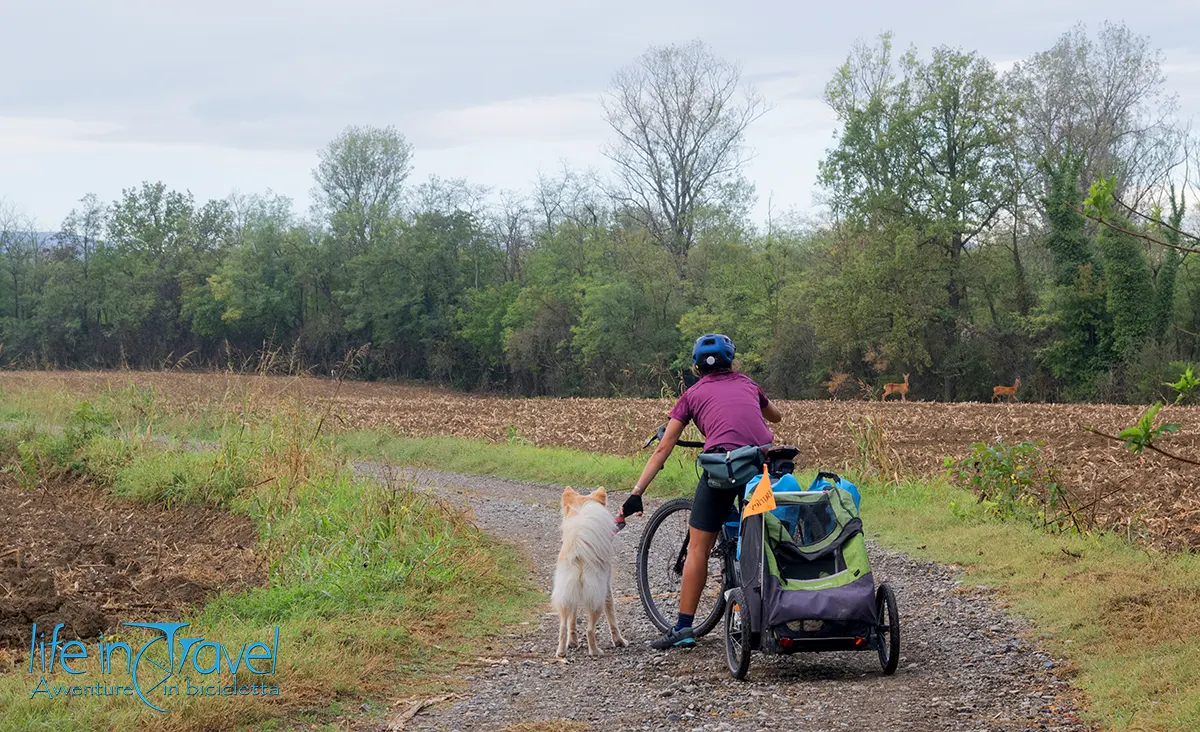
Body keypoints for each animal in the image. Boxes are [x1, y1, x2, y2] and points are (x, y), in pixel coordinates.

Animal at [549, 484, 628, 657]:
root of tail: (579, 557)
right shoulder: (607, 590)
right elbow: (612, 618)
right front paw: (619, 641)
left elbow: (572, 621)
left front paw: (572, 642)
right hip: (596, 600)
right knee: (590, 630)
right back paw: (595, 651)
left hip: (565, 596)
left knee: (563, 627)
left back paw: (561, 652)